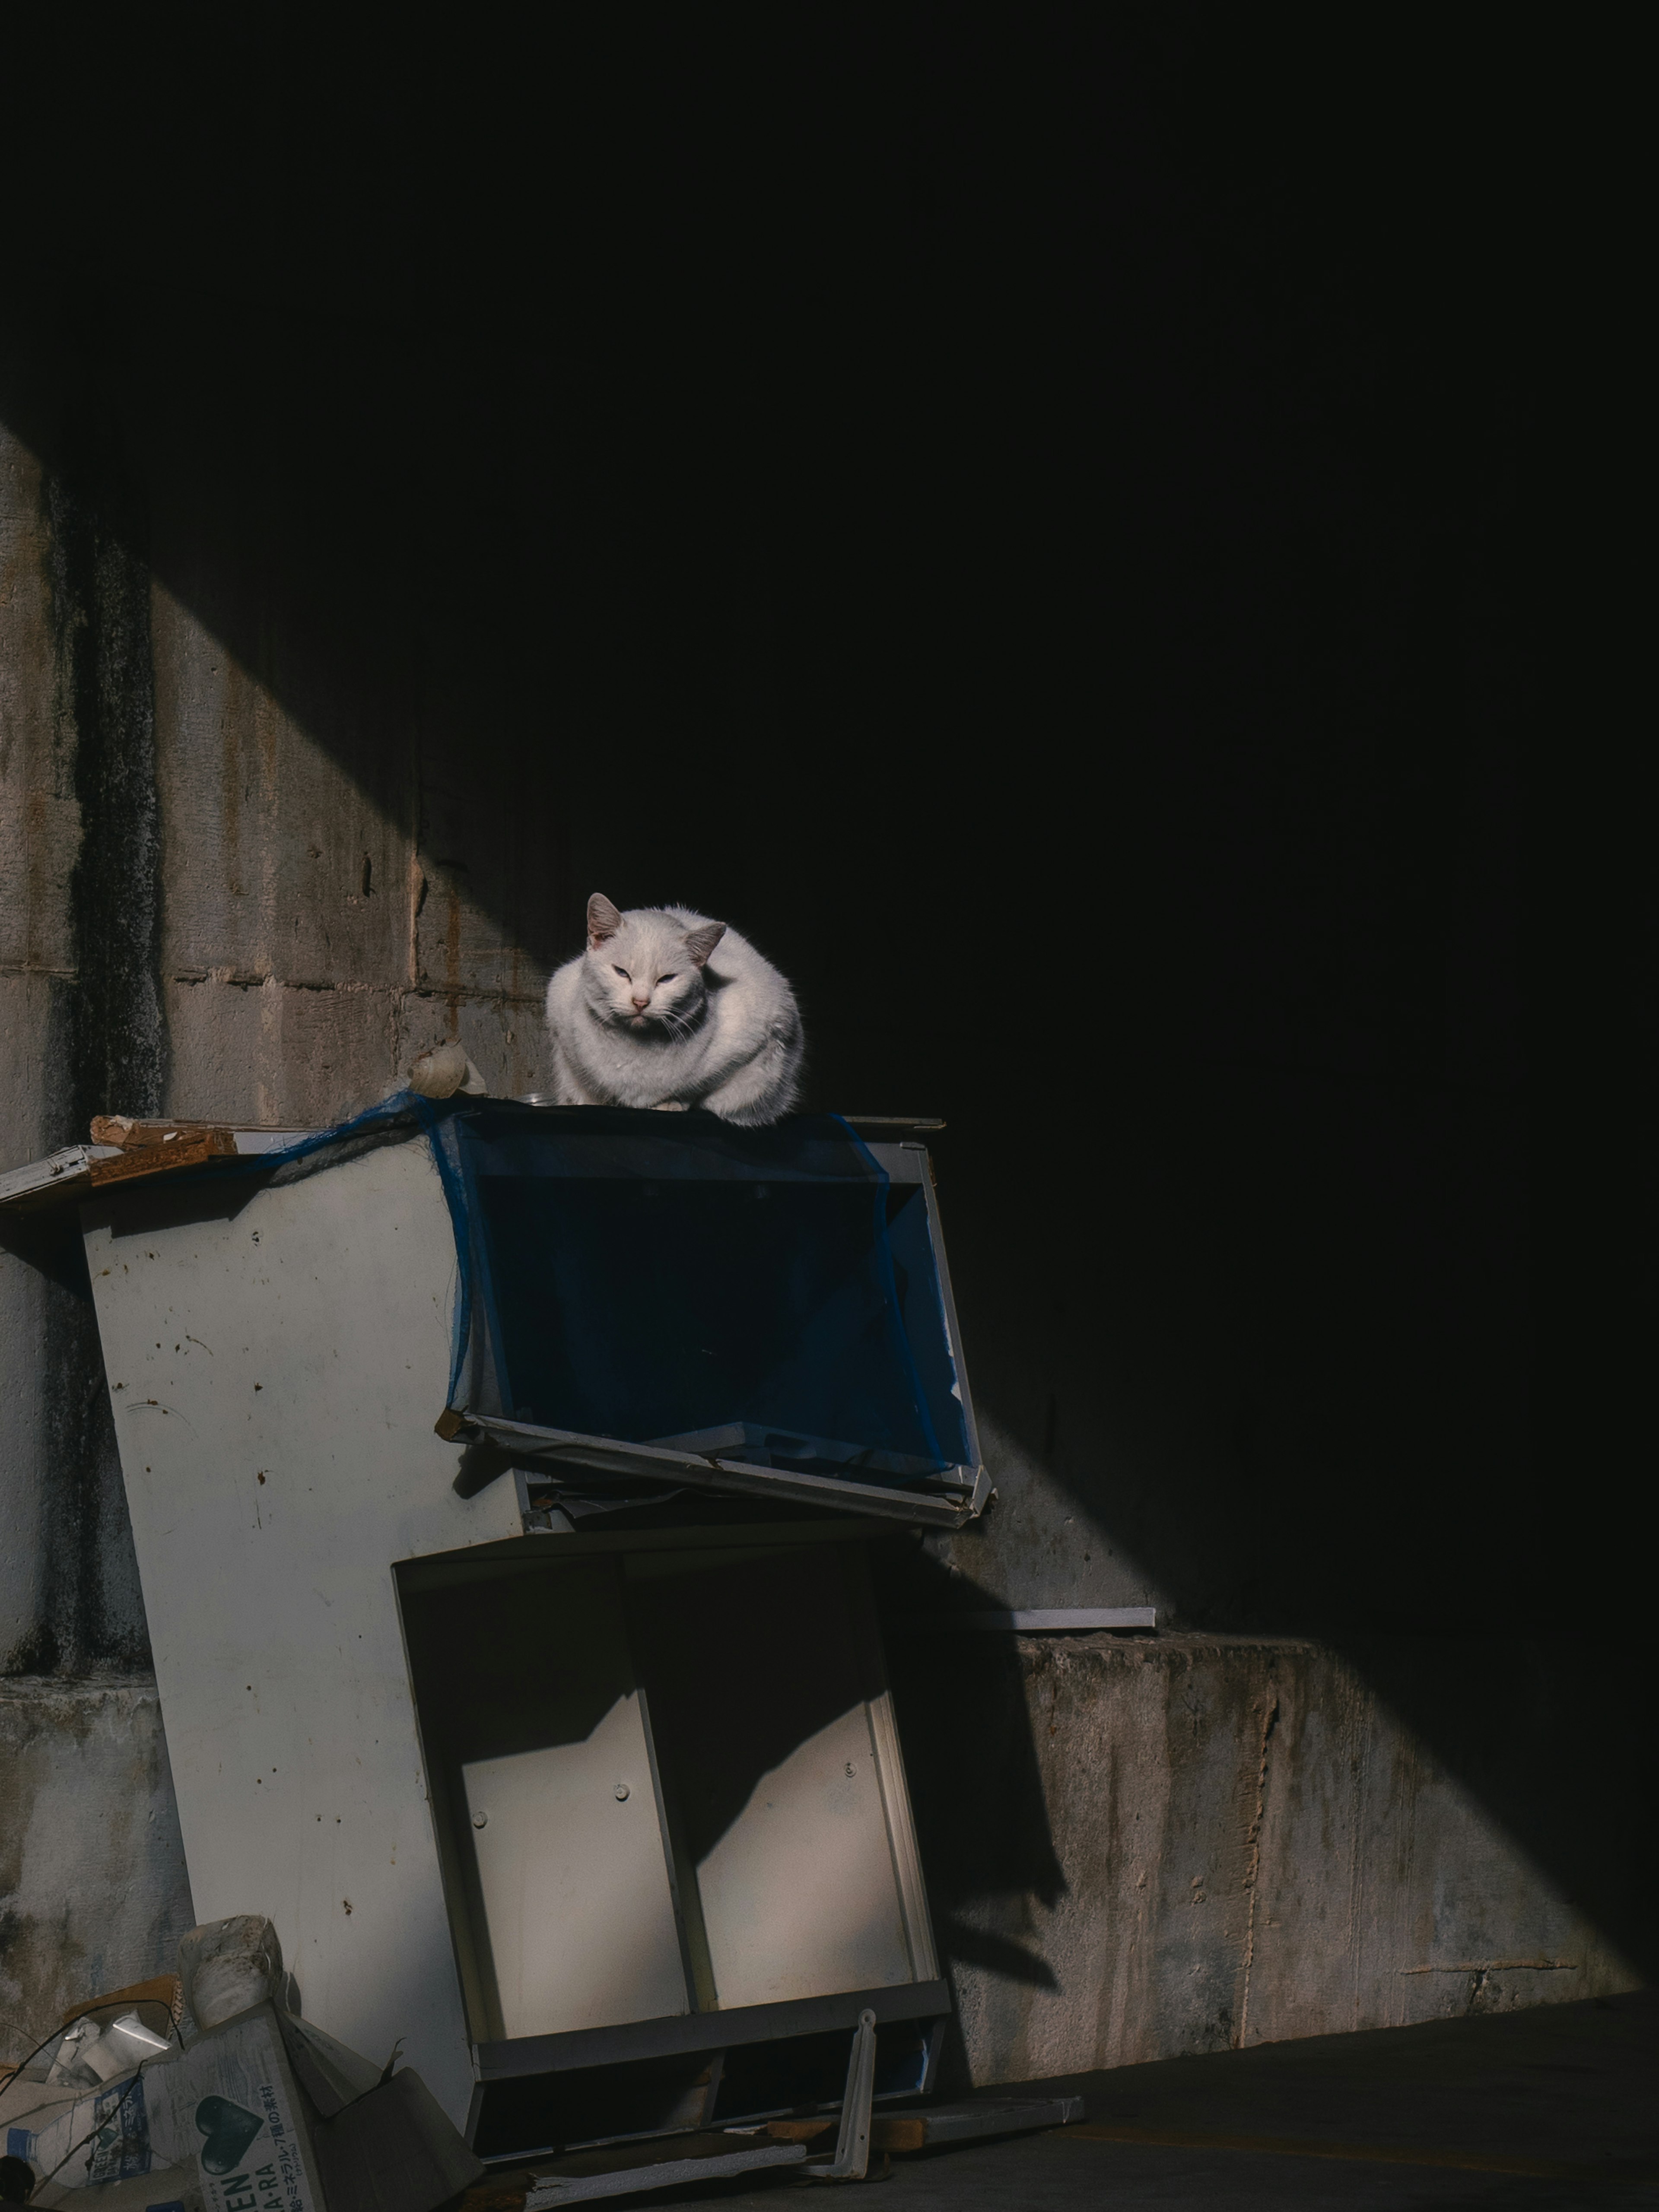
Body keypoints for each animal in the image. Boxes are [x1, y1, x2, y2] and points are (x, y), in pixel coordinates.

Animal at [546, 889, 805, 1123]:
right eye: (622, 973)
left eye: (667, 979)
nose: (640, 1001)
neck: (634, 1048)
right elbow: (588, 1089)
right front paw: (600, 1101)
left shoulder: (760, 1039)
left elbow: (698, 1089)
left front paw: (671, 1103)